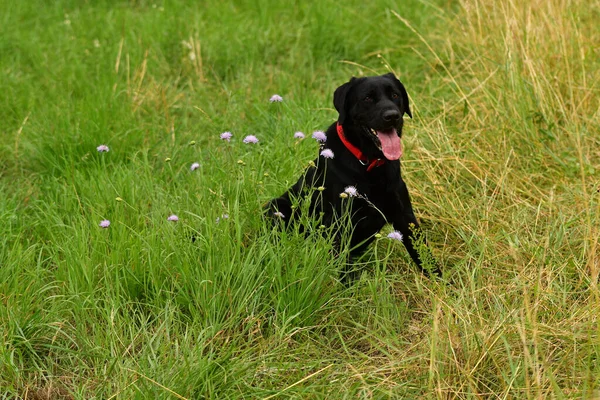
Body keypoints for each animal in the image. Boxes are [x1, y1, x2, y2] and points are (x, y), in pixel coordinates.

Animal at [268, 73, 440, 280]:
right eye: (367, 98)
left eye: (395, 95)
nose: (392, 116)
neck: (369, 164)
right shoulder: (339, 222)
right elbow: (345, 267)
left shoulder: (405, 215)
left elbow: (424, 255)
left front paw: (442, 284)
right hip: (276, 206)